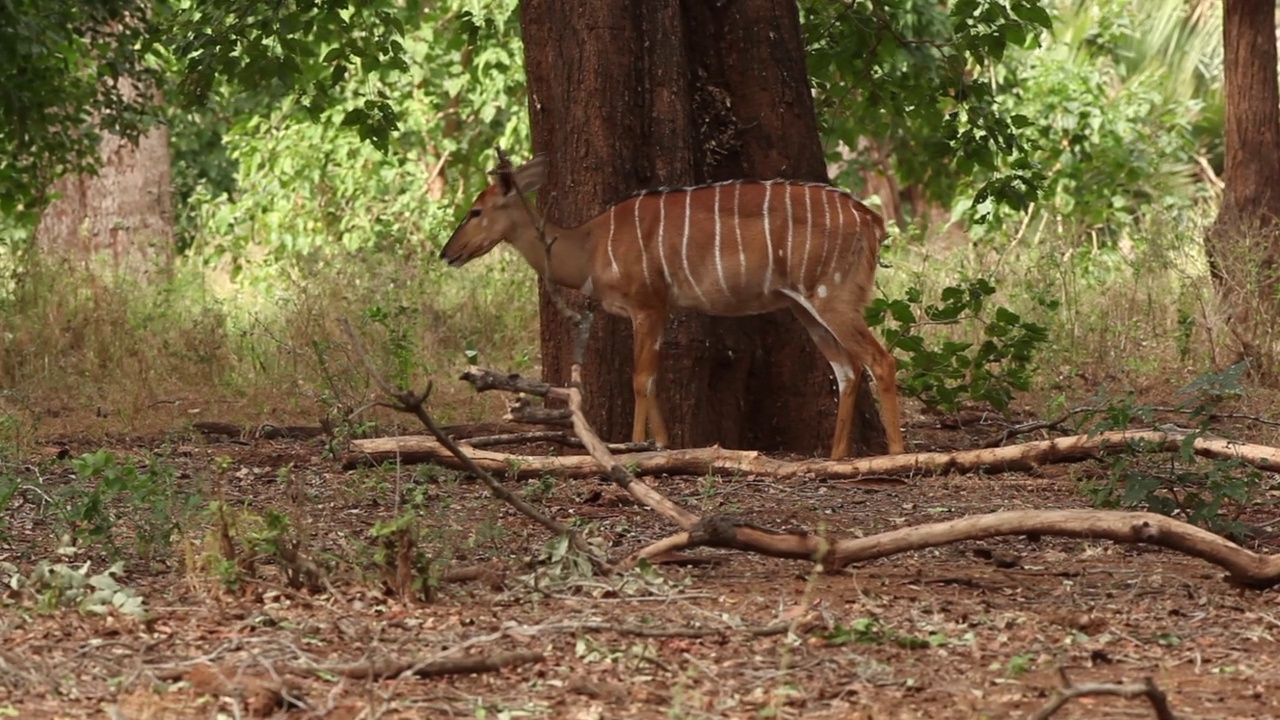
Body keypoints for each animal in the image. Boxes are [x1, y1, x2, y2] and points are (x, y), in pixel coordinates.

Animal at [445, 151, 906, 456]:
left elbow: (640, 377)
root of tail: (874, 222)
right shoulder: (661, 309)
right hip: (803, 306)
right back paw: (836, 457)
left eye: (475, 211)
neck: (589, 246)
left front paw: (635, 444)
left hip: (832, 295)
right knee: (846, 368)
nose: (447, 252)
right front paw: (663, 444)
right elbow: (653, 376)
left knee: (880, 359)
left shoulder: (647, 304)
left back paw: (896, 453)